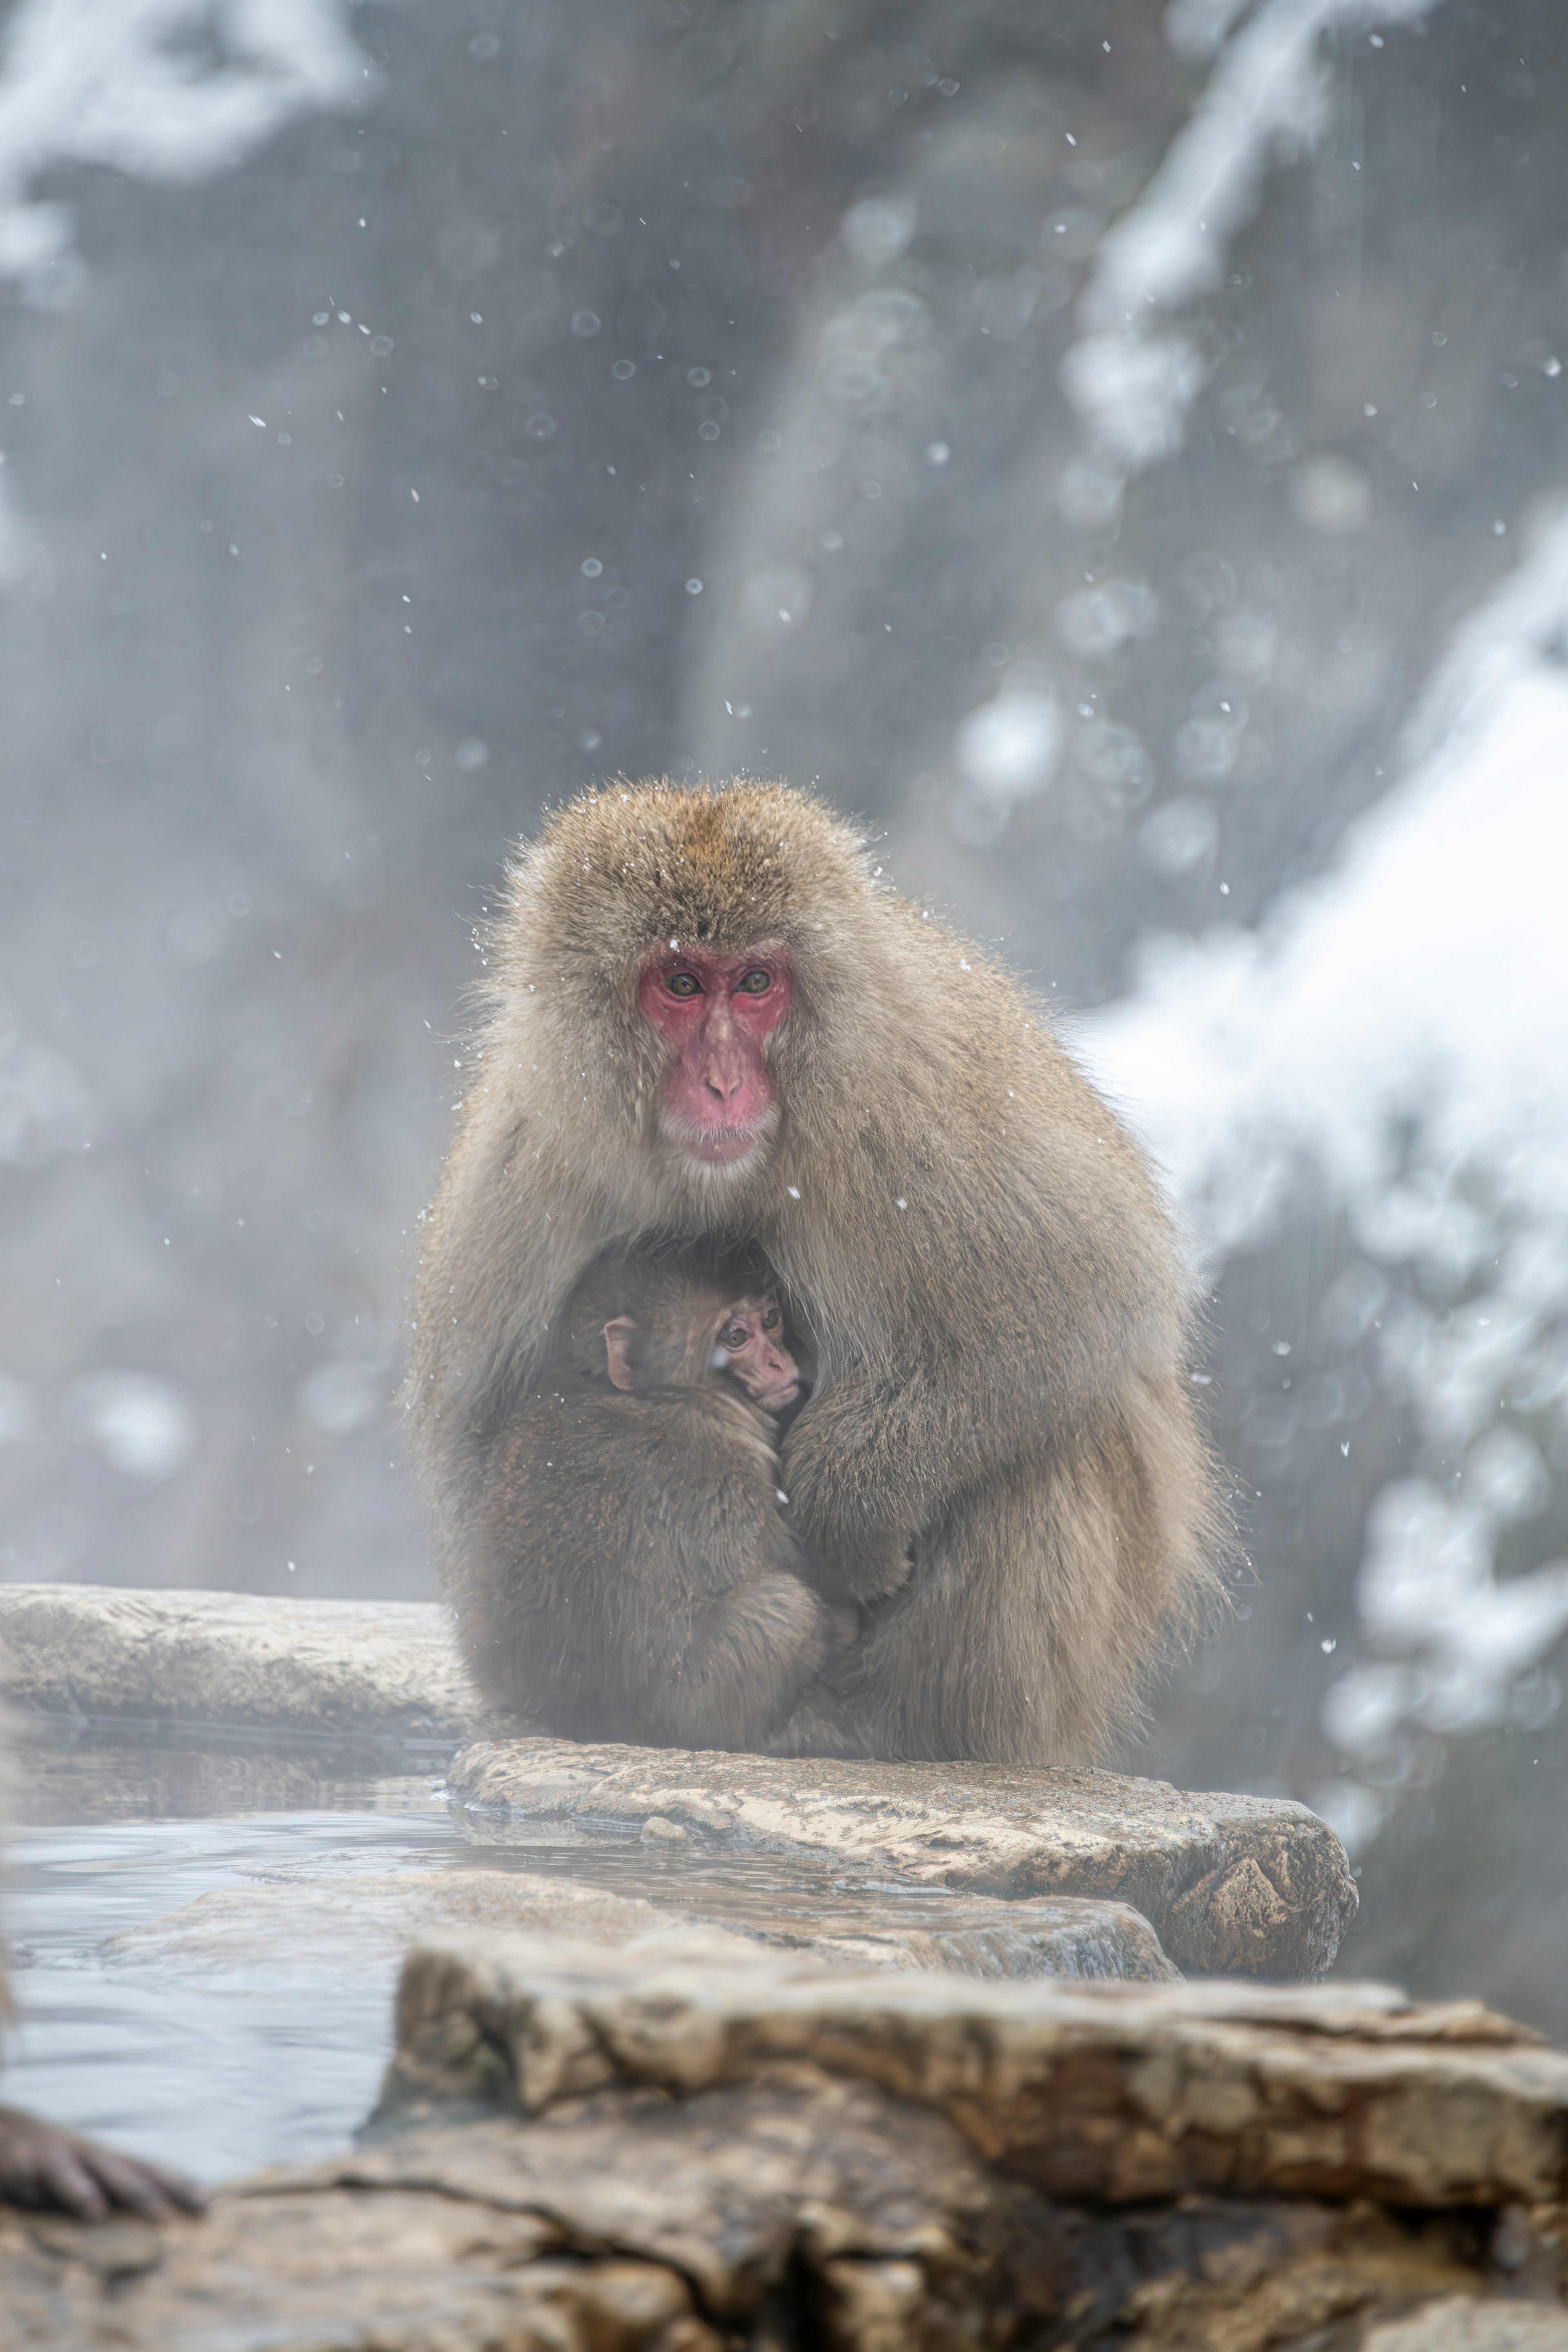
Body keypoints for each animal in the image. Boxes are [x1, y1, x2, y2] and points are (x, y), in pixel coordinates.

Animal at [409, 781, 1222, 1759]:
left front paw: (849, 1503)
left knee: (1050, 1443)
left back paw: (887, 1727)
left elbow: (1091, 1298)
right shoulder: (526, 1155)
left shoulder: (919, 1103)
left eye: (757, 984)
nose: (724, 1085)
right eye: (682, 984)